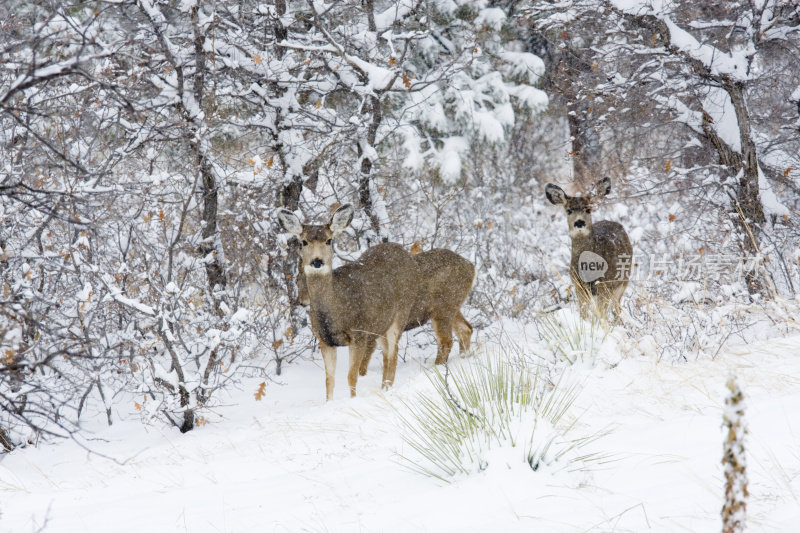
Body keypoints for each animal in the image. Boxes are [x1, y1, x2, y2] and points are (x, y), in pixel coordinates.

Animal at [548, 178, 636, 320]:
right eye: (569, 210)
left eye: (588, 209)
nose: (579, 222)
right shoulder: (579, 286)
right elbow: (583, 313)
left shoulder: (606, 285)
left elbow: (601, 315)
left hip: (623, 281)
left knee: (616, 308)